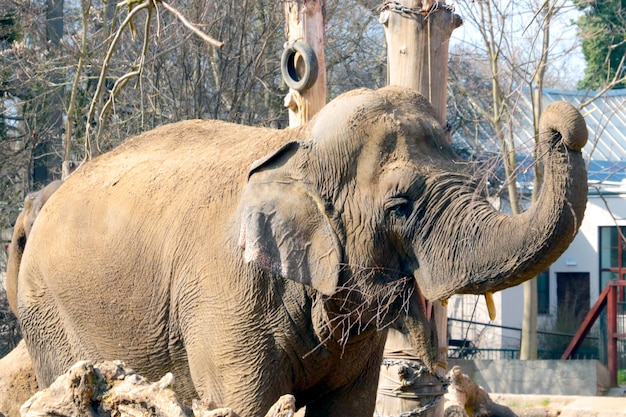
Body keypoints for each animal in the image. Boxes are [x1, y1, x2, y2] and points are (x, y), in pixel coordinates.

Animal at [13, 86, 584, 414]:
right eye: (400, 206)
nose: (564, 124)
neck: (300, 144)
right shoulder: (224, 301)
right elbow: (242, 404)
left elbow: (348, 407)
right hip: (47, 314)